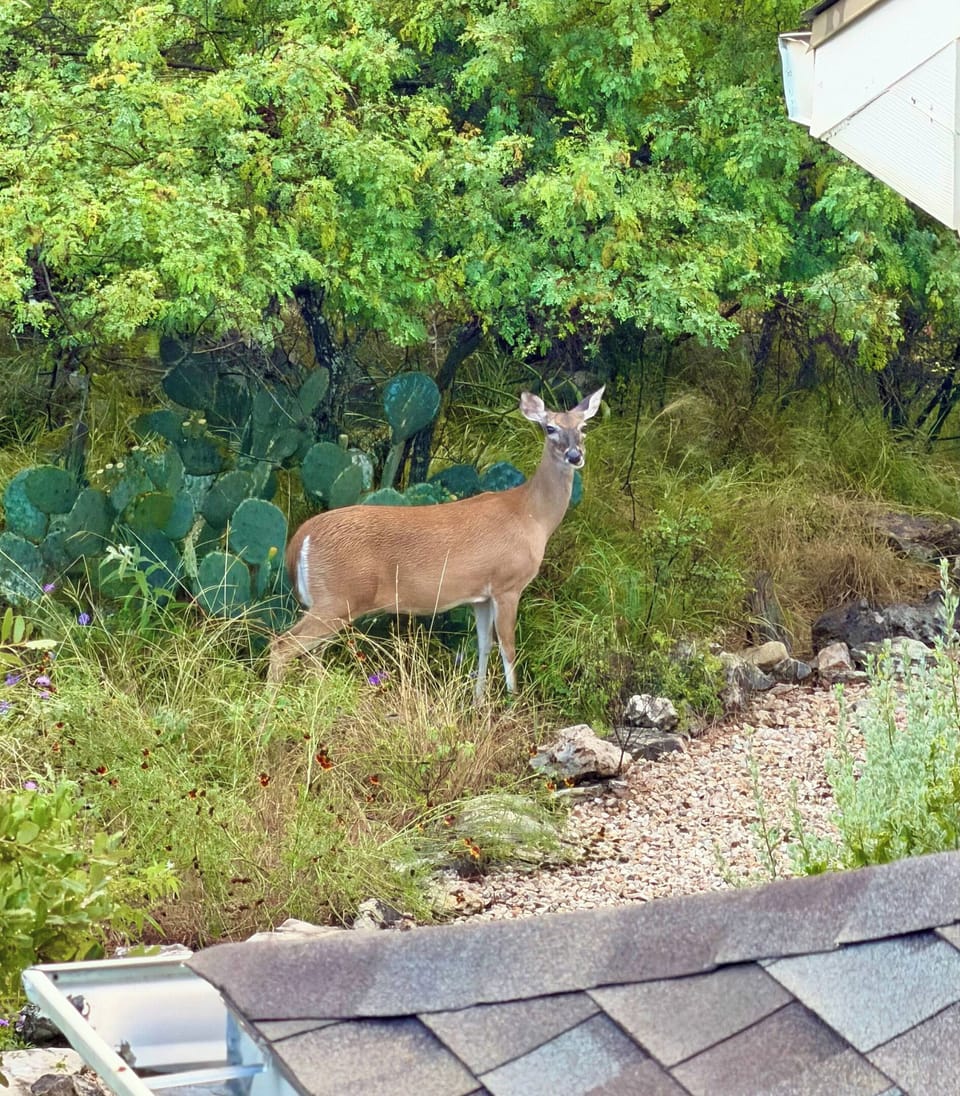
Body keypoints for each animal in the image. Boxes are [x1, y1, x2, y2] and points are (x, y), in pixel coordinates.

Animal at [268, 387, 604, 698]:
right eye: (550, 428)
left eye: (584, 427)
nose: (575, 455)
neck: (531, 515)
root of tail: (300, 538)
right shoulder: (508, 584)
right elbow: (508, 648)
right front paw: (512, 702)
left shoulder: (480, 596)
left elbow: (484, 645)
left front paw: (478, 702)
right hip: (338, 599)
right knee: (282, 645)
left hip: (329, 603)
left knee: (310, 655)